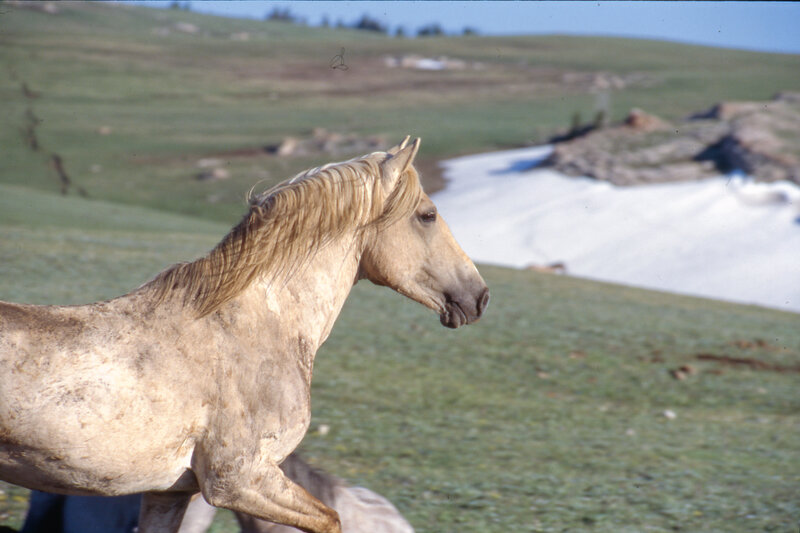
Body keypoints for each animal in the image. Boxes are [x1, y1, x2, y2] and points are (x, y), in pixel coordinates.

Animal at [0, 137, 489, 533]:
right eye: (428, 215)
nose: (479, 297)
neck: (253, 324)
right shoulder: (239, 481)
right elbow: (331, 520)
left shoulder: (169, 493)